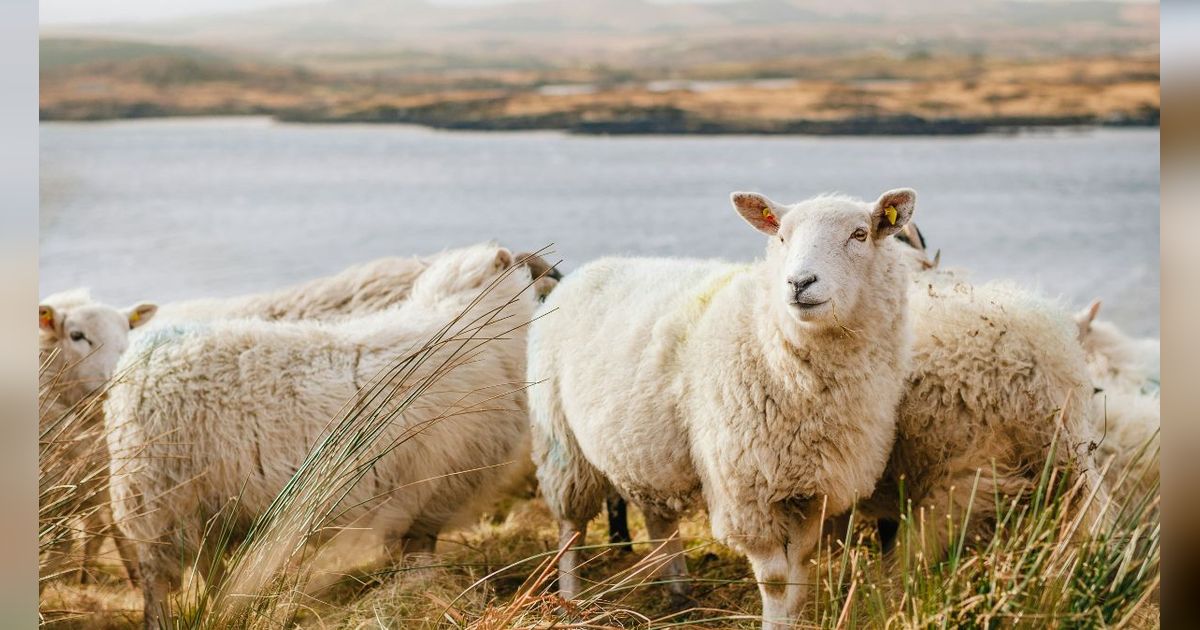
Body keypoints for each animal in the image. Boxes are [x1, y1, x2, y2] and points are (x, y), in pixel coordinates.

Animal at [108, 243, 540, 624]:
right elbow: (418, 555)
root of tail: (137, 363)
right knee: (156, 583)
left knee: (209, 569)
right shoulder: (430, 492)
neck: (469, 324)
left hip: (203, 507)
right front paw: (421, 593)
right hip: (159, 501)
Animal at [530, 187, 912, 624]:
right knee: (571, 528)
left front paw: (792, 619)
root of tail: (583, 272)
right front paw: (774, 624)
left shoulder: (812, 491)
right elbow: (776, 582)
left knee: (659, 519)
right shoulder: (746, 492)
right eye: (781, 237)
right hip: (561, 443)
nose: (799, 282)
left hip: (645, 449)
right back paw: (570, 599)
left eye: (860, 234)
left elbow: (798, 575)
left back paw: (679, 593)